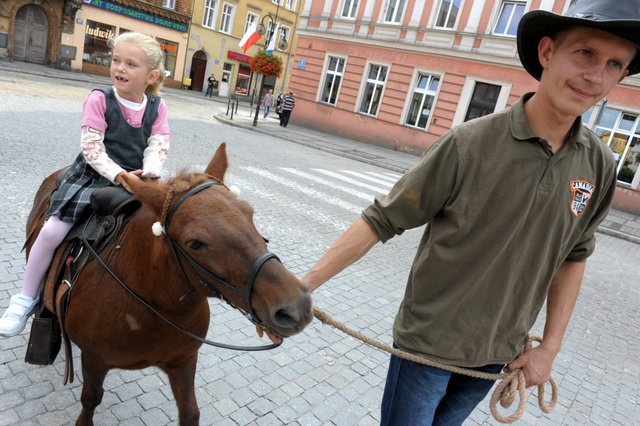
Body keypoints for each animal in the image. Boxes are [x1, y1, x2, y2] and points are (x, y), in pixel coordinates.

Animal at [24, 144, 312, 426]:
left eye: (250, 214)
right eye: (195, 243)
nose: (295, 307)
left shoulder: (183, 361)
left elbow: (190, 413)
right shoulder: (94, 360)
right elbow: (90, 400)